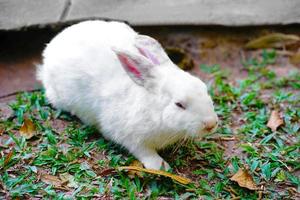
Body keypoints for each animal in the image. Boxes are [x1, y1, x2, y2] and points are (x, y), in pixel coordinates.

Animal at [37, 20, 217, 170]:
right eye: (179, 104)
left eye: (204, 89)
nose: (211, 124)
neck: (153, 110)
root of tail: (50, 48)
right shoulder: (129, 137)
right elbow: (144, 151)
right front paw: (160, 166)